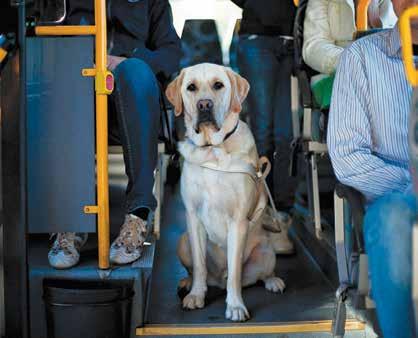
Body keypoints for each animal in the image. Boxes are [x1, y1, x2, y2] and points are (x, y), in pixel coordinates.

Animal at [165, 62, 286, 322]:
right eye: (191, 87)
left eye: (218, 85)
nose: (204, 105)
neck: (213, 149)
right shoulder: (193, 217)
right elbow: (199, 265)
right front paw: (196, 295)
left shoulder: (238, 221)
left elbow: (235, 271)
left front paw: (236, 306)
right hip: (182, 241)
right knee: (198, 271)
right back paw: (187, 283)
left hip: (266, 251)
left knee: (257, 274)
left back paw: (273, 281)